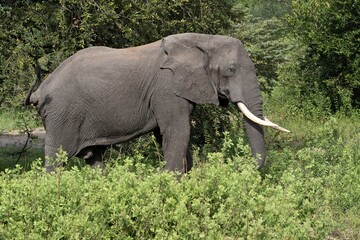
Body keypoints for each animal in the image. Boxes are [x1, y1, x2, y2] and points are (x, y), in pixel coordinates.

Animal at [24, 32, 290, 173]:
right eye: (231, 70)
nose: (244, 169)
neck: (203, 40)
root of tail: (41, 90)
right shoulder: (166, 89)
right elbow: (177, 131)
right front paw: (171, 181)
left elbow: (169, 135)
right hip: (62, 114)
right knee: (57, 158)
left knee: (93, 158)